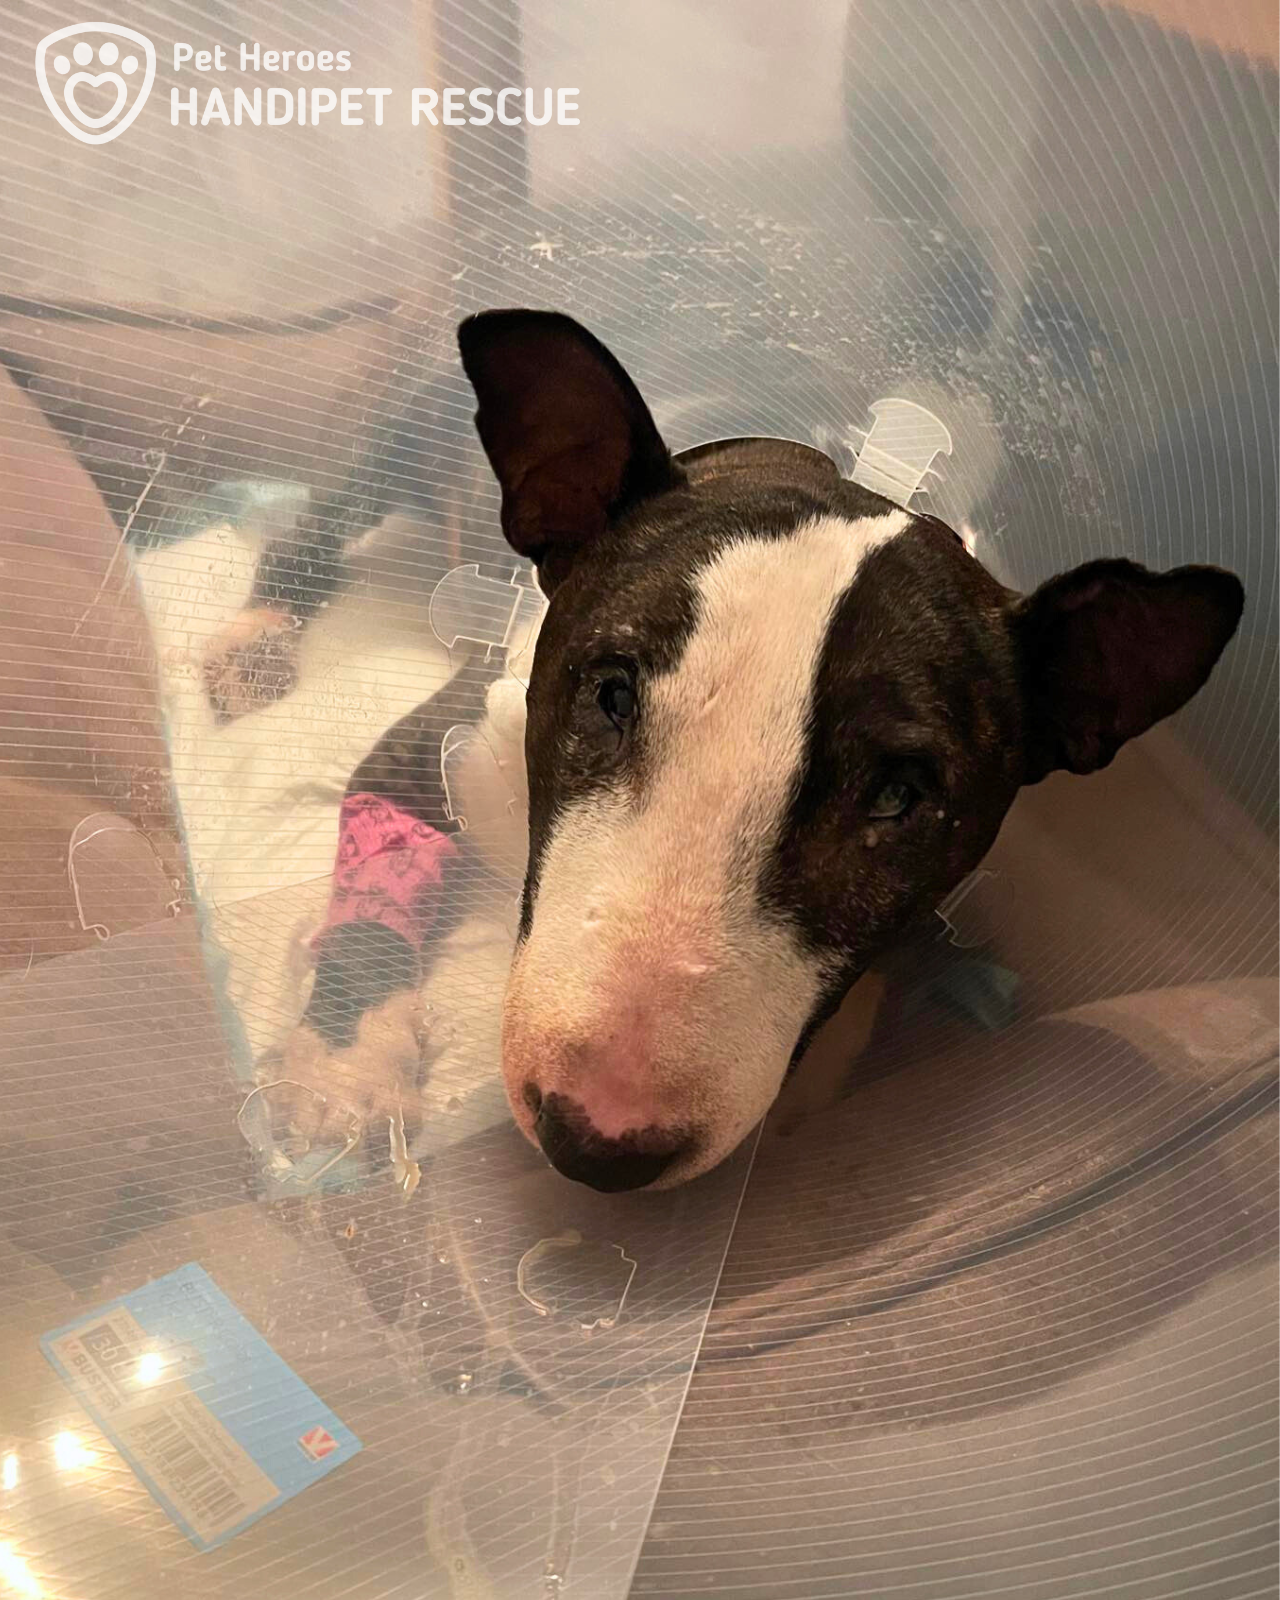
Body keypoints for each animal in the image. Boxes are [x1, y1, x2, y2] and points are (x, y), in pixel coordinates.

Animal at [273, 308, 1245, 1194]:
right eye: (611, 694)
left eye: (899, 797)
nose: (596, 1143)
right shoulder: (430, 753)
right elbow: (373, 881)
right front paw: (343, 1072)